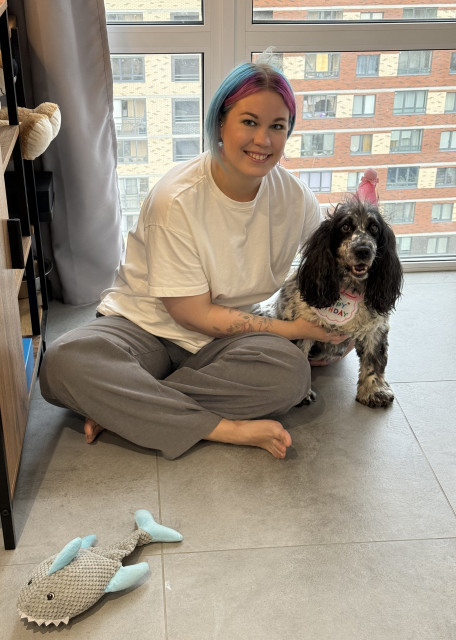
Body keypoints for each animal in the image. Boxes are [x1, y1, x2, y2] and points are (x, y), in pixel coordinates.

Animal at [267, 198, 403, 408]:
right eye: (345, 226)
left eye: (374, 228)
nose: (363, 250)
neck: (351, 287)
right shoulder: (303, 326)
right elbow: (300, 354)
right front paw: (303, 394)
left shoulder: (375, 329)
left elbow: (374, 360)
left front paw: (374, 391)